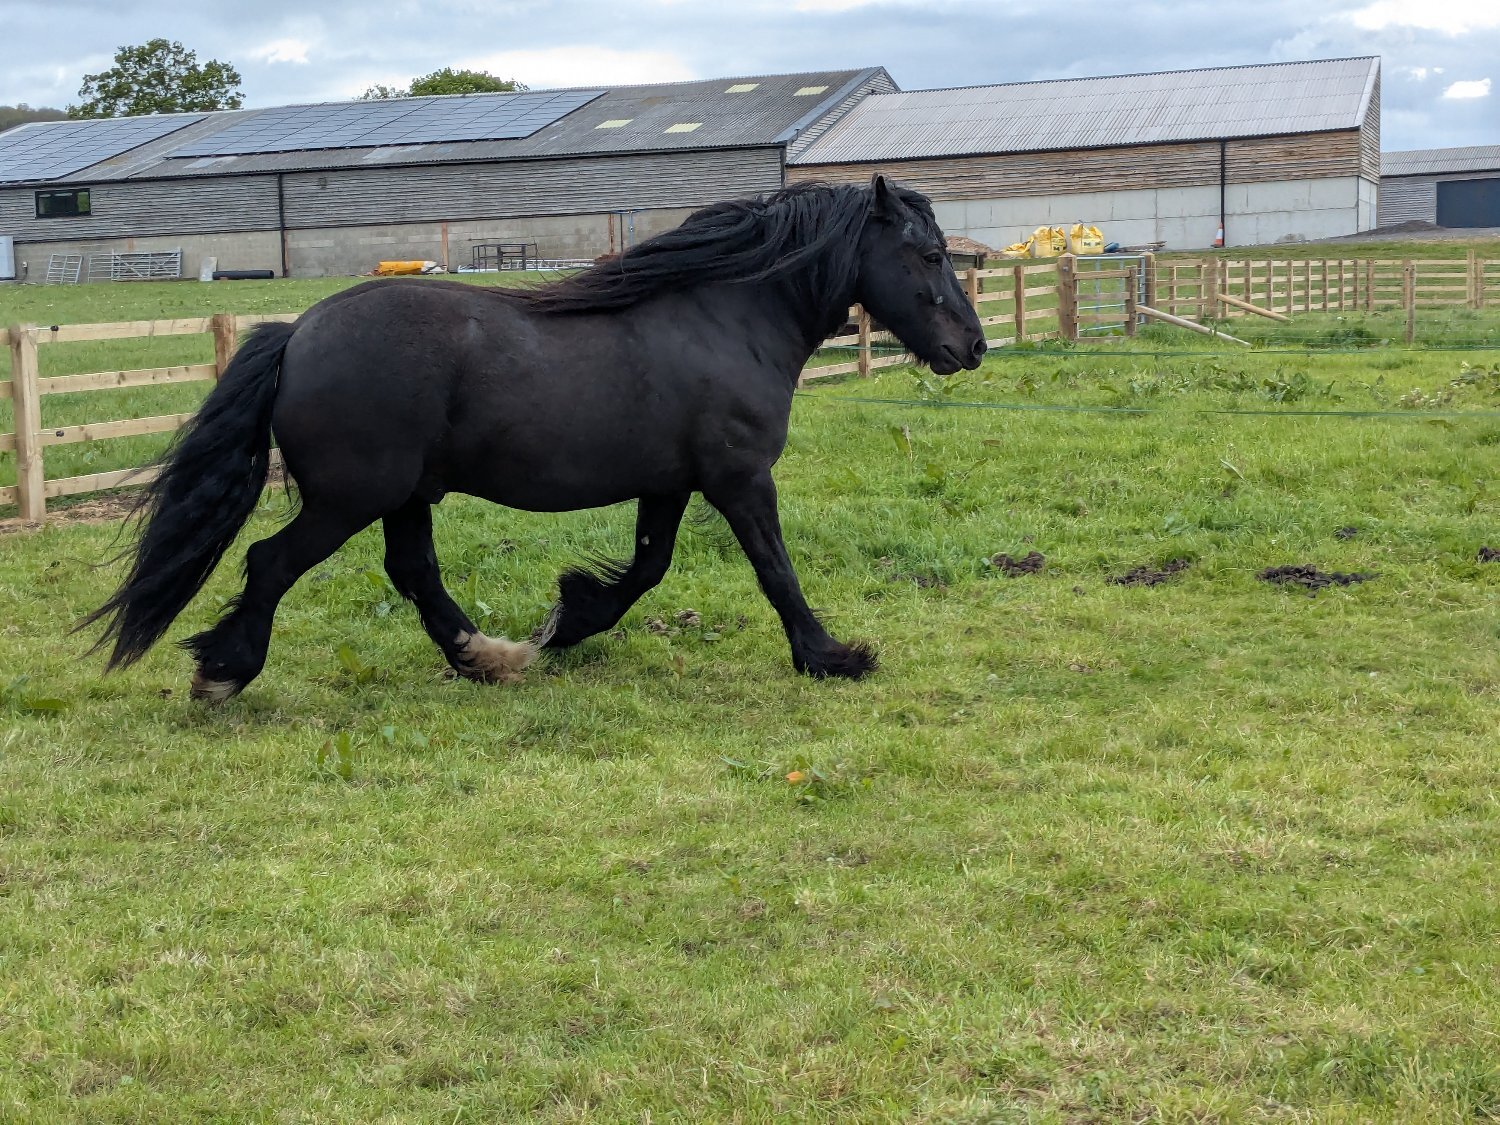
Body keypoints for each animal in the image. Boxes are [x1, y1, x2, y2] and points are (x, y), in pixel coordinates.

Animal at [80, 176, 987, 701]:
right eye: (928, 253)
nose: (971, 347)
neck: (725, 318)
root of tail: (299, 332)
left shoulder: (670, 482)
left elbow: (648, 569)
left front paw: (569, 620)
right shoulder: (739, 480)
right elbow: (776, 570)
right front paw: (831, 656)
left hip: (403, 496)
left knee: (413, 573)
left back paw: (488, 658)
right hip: (352, 497)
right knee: (272, 562)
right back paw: (224, 671)